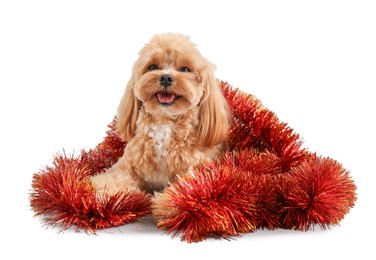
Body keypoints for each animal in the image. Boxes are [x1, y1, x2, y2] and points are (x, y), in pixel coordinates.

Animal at [92, 33, 231, 195]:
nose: (165, 77)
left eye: (185, 69)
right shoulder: (126, 165)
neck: (165, 123)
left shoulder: (196, 166)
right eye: (152, 67)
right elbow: (113, 179)